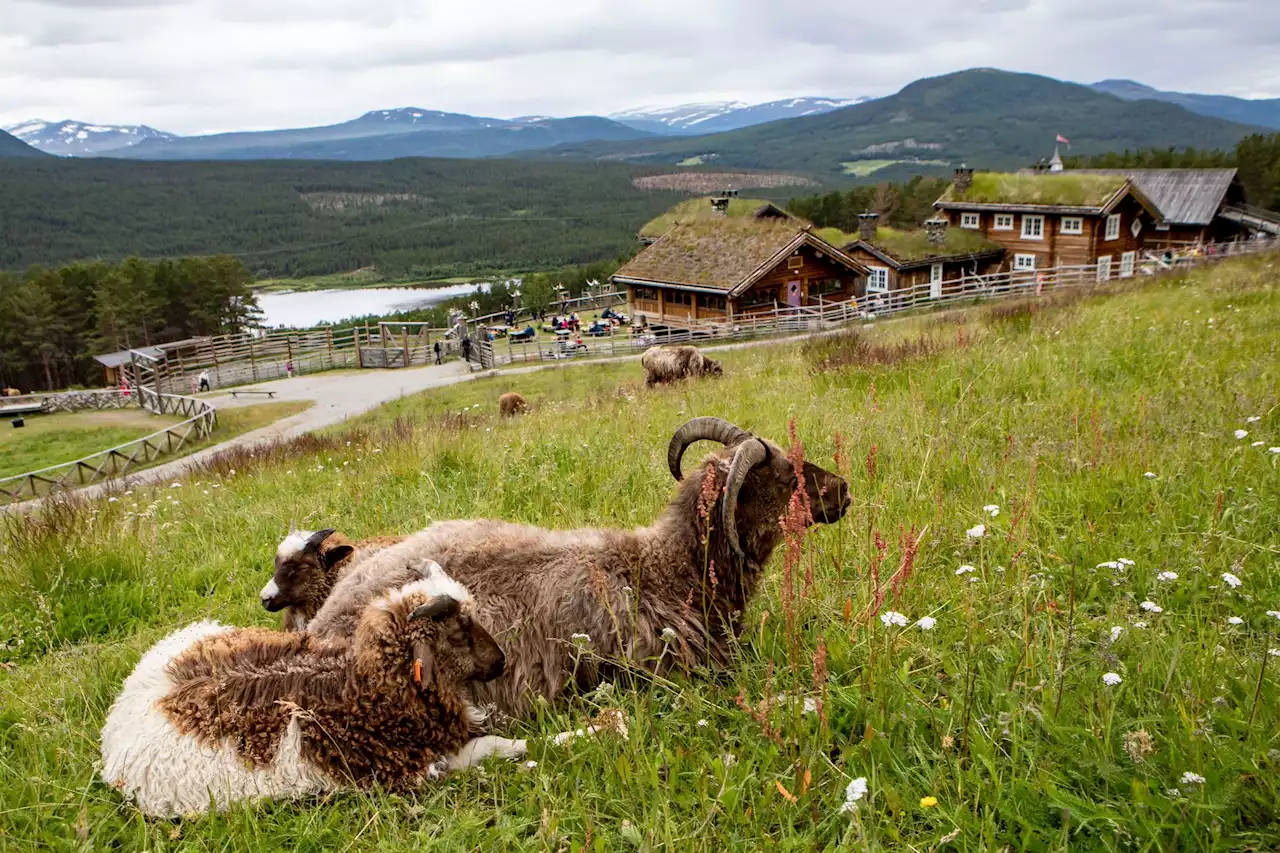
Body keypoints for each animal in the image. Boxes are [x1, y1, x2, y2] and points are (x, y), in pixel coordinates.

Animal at [97, 563, 522, 819]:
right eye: (457, 633)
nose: (502, 662)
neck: (361, 689)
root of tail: (124, 704)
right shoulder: (405, 770)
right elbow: (484, 749)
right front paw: (529, 745)